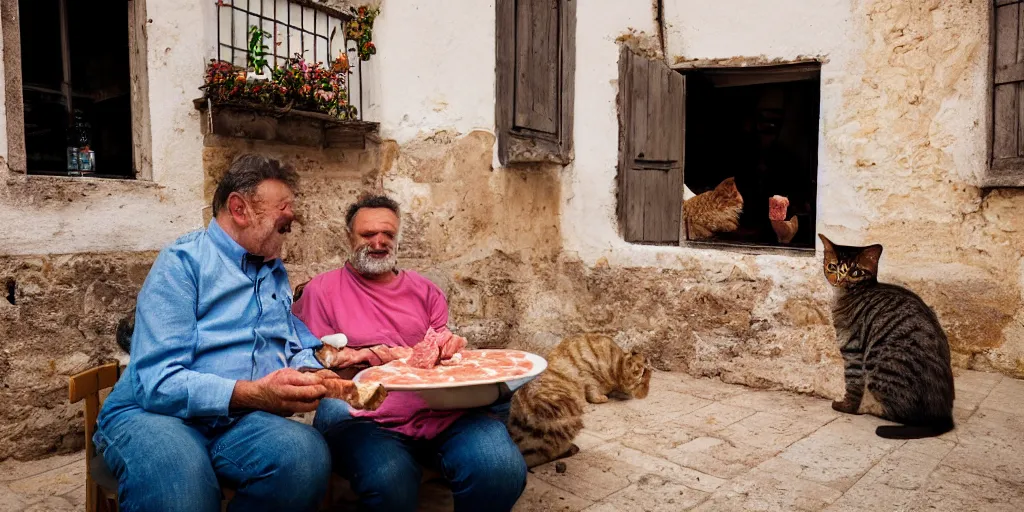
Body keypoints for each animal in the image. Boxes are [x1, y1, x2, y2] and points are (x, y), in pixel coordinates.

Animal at [819, 234, 954, 438]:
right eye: (832, 266)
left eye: (855, 272)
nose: (840, 280)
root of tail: (943, 416)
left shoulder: (851, 348)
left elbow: (852, 384)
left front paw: (846, 407)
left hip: (879, 364)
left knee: (900, 414)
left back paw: (869, 409)